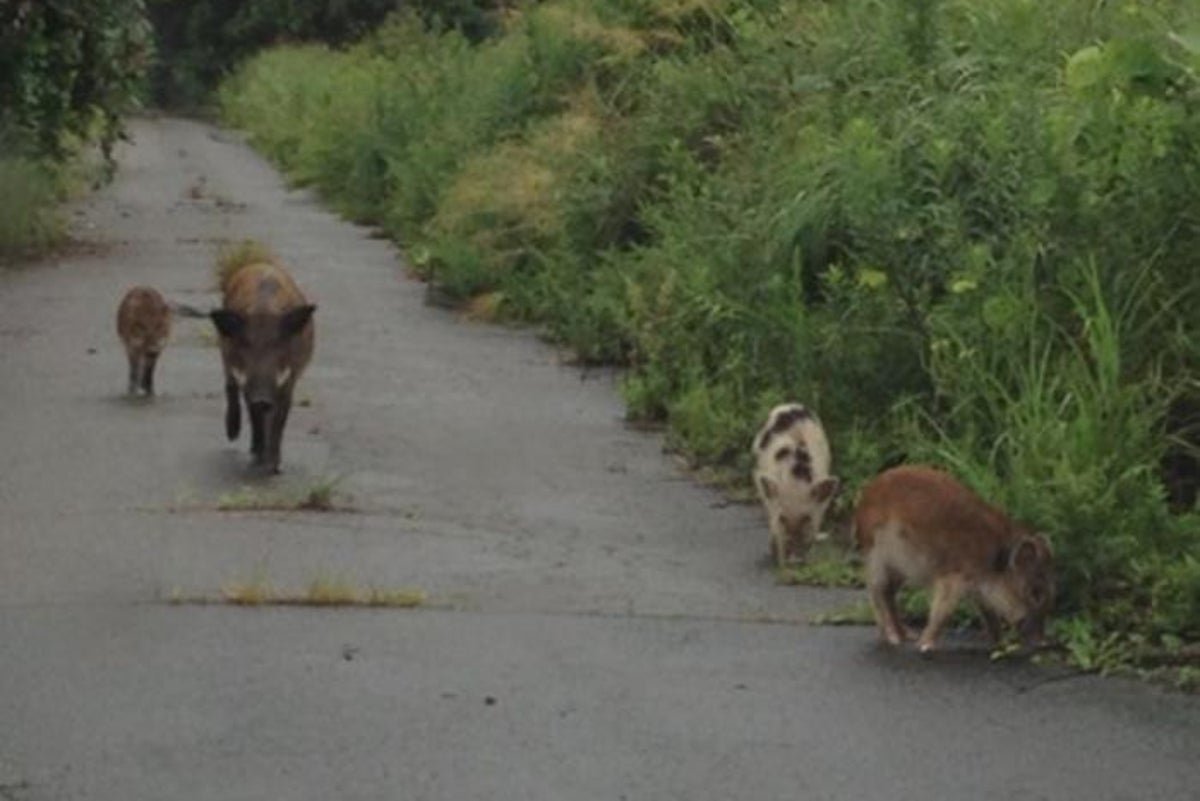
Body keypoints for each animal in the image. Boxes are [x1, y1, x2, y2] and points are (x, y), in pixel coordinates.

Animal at [209, 261, 315, 474]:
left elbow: (280, 417)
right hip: (224, 352)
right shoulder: (244, 377)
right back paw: (233, 435)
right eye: (245, 344)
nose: (262, 398)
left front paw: (273, 467)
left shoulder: (289, 378)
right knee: (230, 386)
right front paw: (257, 458)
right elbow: (253, 411)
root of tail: (259, 264)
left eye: (279, 344)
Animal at [853, 465, 1055, 653]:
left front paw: (1001, 644)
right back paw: (894, 638)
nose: (1043, 643)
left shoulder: (980, 590)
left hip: (900, 570)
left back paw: (907, 635)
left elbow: (989, 614)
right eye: (1035, 593)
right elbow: (943, 612)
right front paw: (925, 646)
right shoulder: (952, 579)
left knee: (889, 594)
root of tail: (864, 499)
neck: (994, 561)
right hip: (877, 558)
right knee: (877, 592)